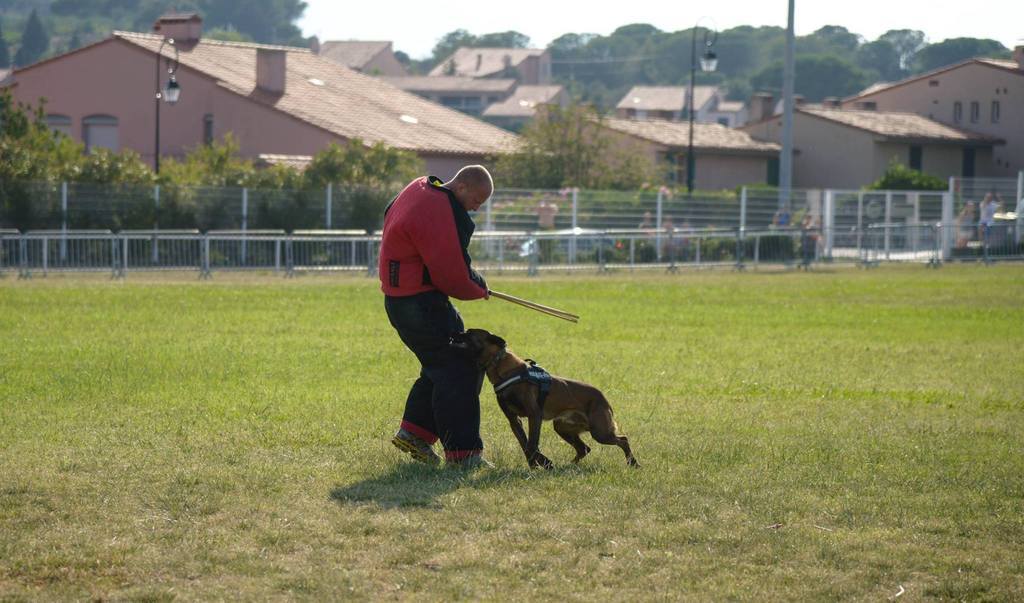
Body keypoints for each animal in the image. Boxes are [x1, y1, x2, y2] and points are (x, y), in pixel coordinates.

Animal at [452, 329, 634, 464]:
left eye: (469, 332)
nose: (453, 334)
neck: (501, 367)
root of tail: (602, 397)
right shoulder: (514, 420)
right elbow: (525, 445)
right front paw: (535, 466)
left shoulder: (534, 415)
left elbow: (532, 444)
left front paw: (545, 463)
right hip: (562, 427)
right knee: (584, 448)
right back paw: (569, 466)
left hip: (599, 431)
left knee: (623, 440)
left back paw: (632, 463)